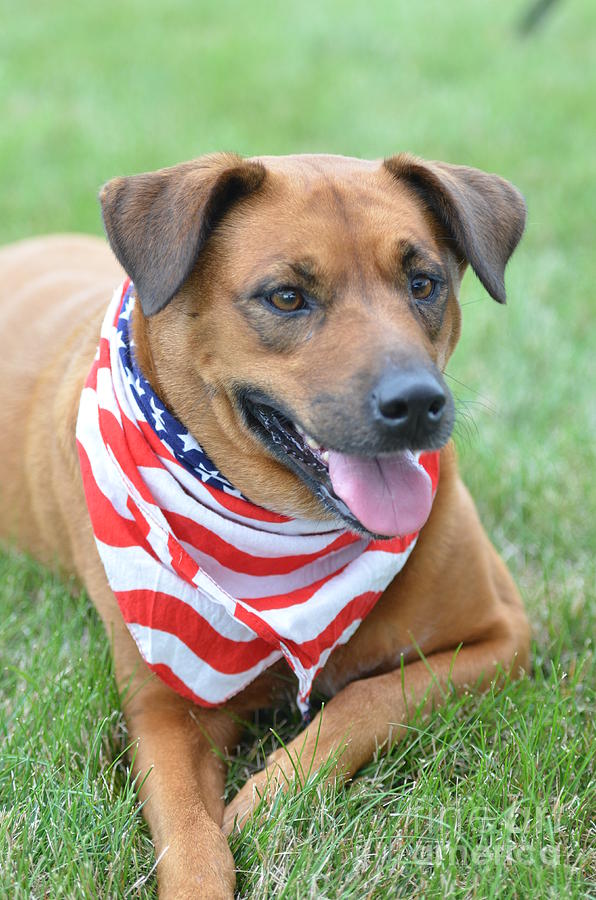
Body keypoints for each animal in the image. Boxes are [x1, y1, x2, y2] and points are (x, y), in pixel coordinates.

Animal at [0, 151, 532, 896]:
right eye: (285, 298)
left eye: (423, 283)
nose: (418, 402)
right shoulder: (163, 705)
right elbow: (188, 834)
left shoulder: (503, 638)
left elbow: (370, 696)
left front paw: (271, 796)